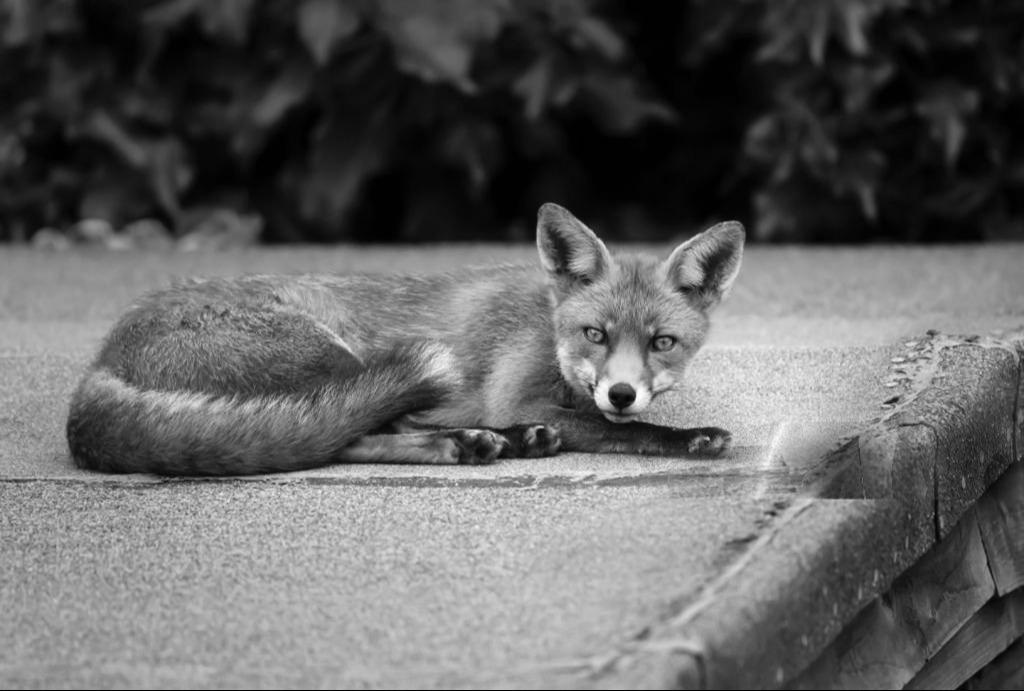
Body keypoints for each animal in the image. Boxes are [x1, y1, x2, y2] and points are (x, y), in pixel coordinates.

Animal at [66, 203, 745, 476]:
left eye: (662, 343)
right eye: (595, 334)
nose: (623, 392)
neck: (547, 325)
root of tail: (99, 360)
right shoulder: (516, 393)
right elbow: (620, 432)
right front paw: (688, 438)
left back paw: (500, 441)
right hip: (333, 354)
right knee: (339, 436)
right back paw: (468, 443)